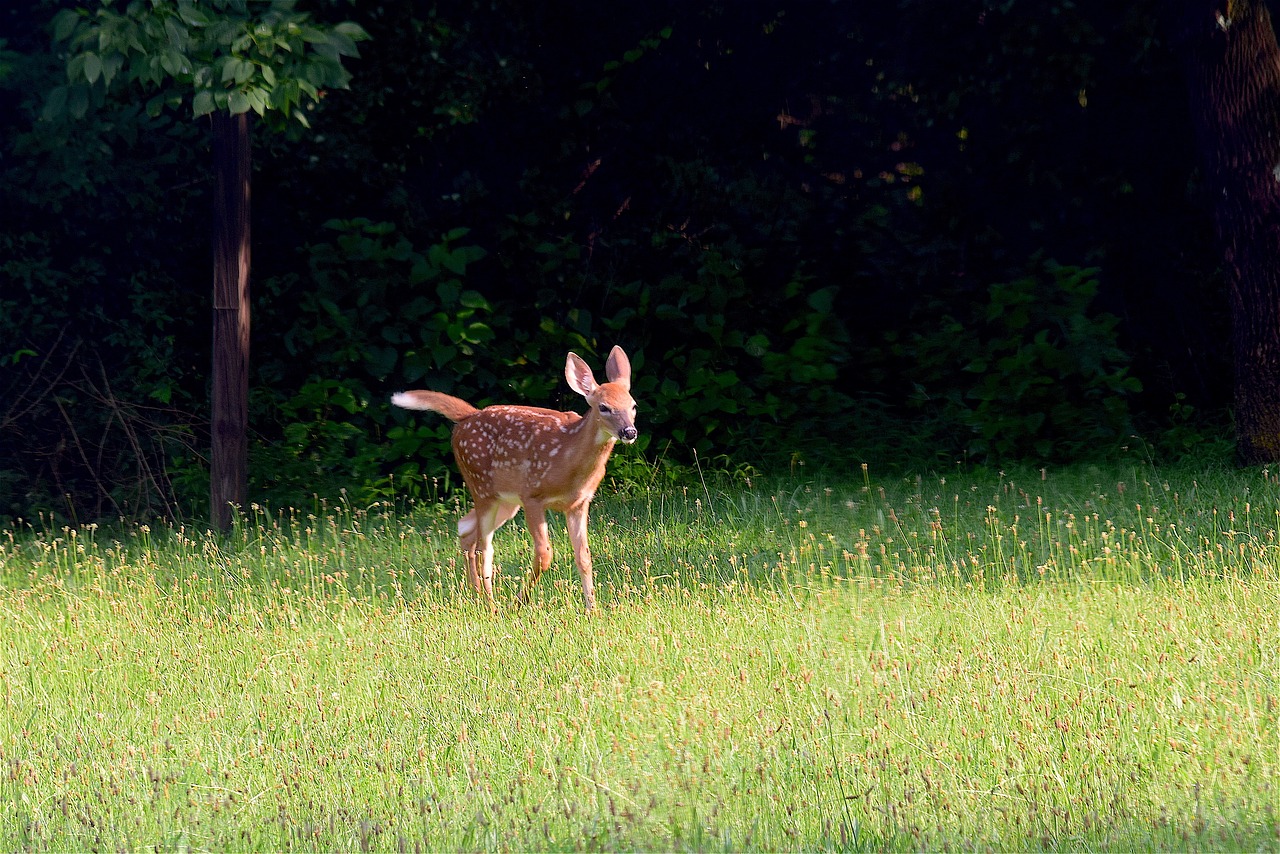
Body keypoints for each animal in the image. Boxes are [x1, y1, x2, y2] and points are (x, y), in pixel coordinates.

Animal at [384, 348, 634, 614]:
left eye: (633, 405)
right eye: (604, 407)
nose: (629, 432)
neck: (569, 458)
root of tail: (468, 416)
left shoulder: (579, 503)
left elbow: (584, 556)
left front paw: (592, 609)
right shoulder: (532, 495)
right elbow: (544, 554)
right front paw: (519, 601)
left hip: (505, 501)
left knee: (466, 529)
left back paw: (476, 595)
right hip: (481, 486)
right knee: (484, 546)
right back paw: (491, 603)